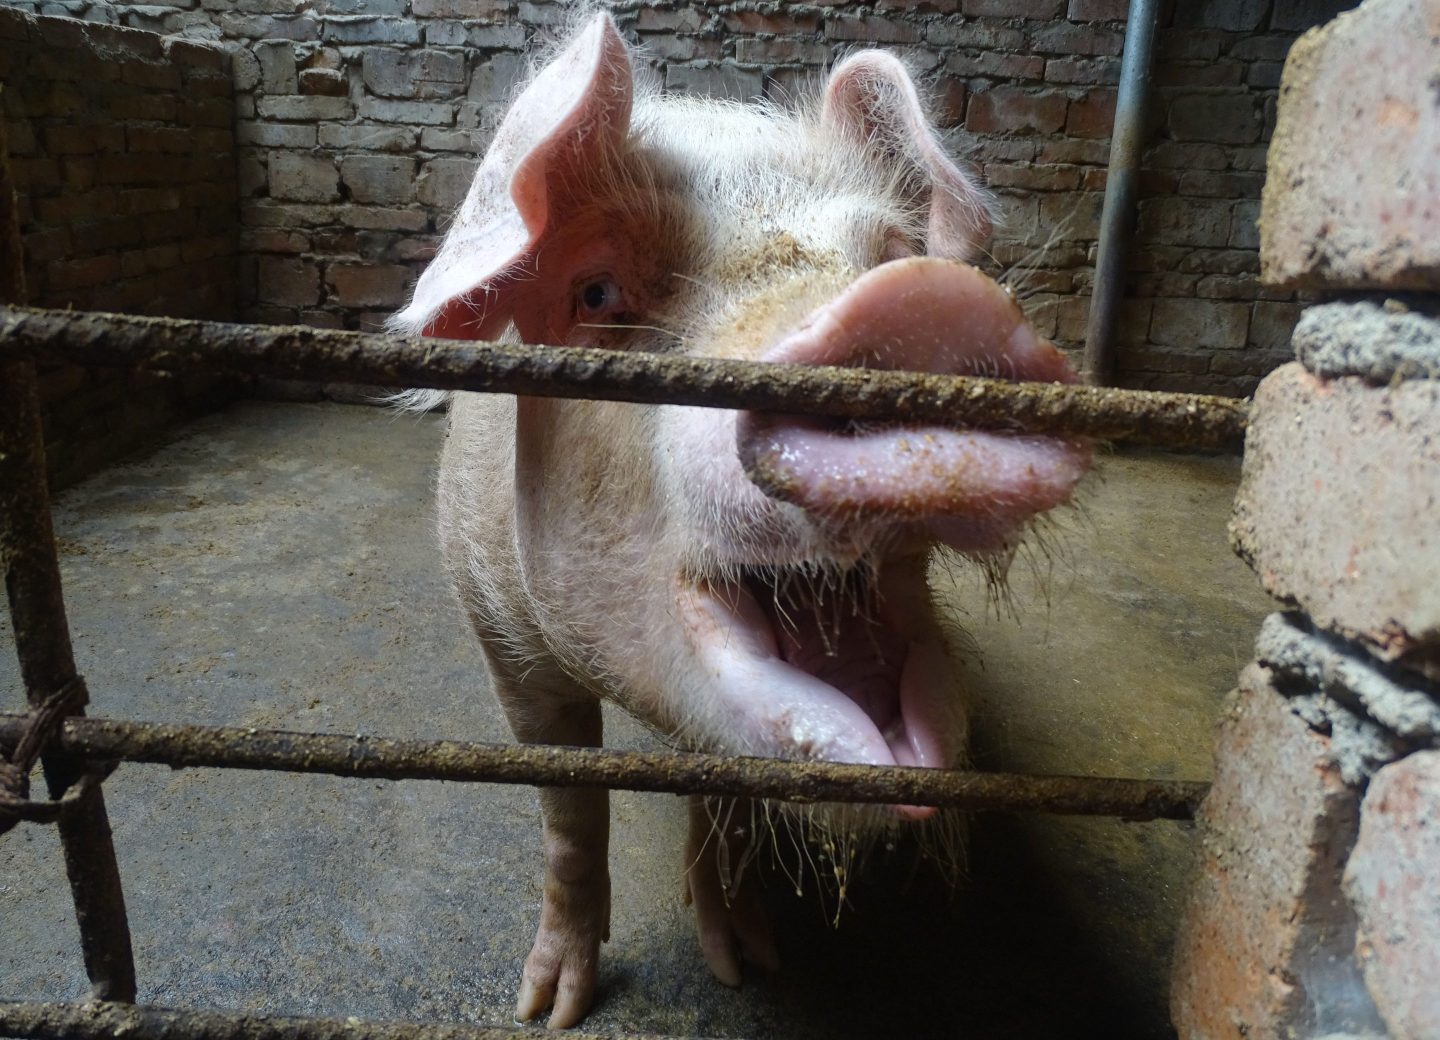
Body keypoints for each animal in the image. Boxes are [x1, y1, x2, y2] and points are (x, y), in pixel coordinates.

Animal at [391, 11, 1089, 1028]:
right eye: (595, 293)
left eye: (889, 254)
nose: (921, 302)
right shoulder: (499, 634)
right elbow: (568, 809)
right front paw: (549, 1009)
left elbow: (715, 795)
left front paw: (744, 964)